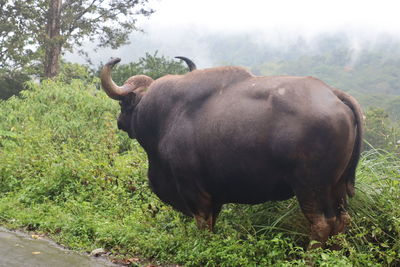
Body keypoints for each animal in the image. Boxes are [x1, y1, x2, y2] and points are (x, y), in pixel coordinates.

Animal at [99, 57, 362, 249]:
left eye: (123, 104)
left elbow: (203, 224)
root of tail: (333, 95)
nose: (120, 121)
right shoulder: (213, 195)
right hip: (337, 187)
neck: (165, 117)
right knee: (342, 220)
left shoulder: (193, 190)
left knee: (321, 224)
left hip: (310, 186)